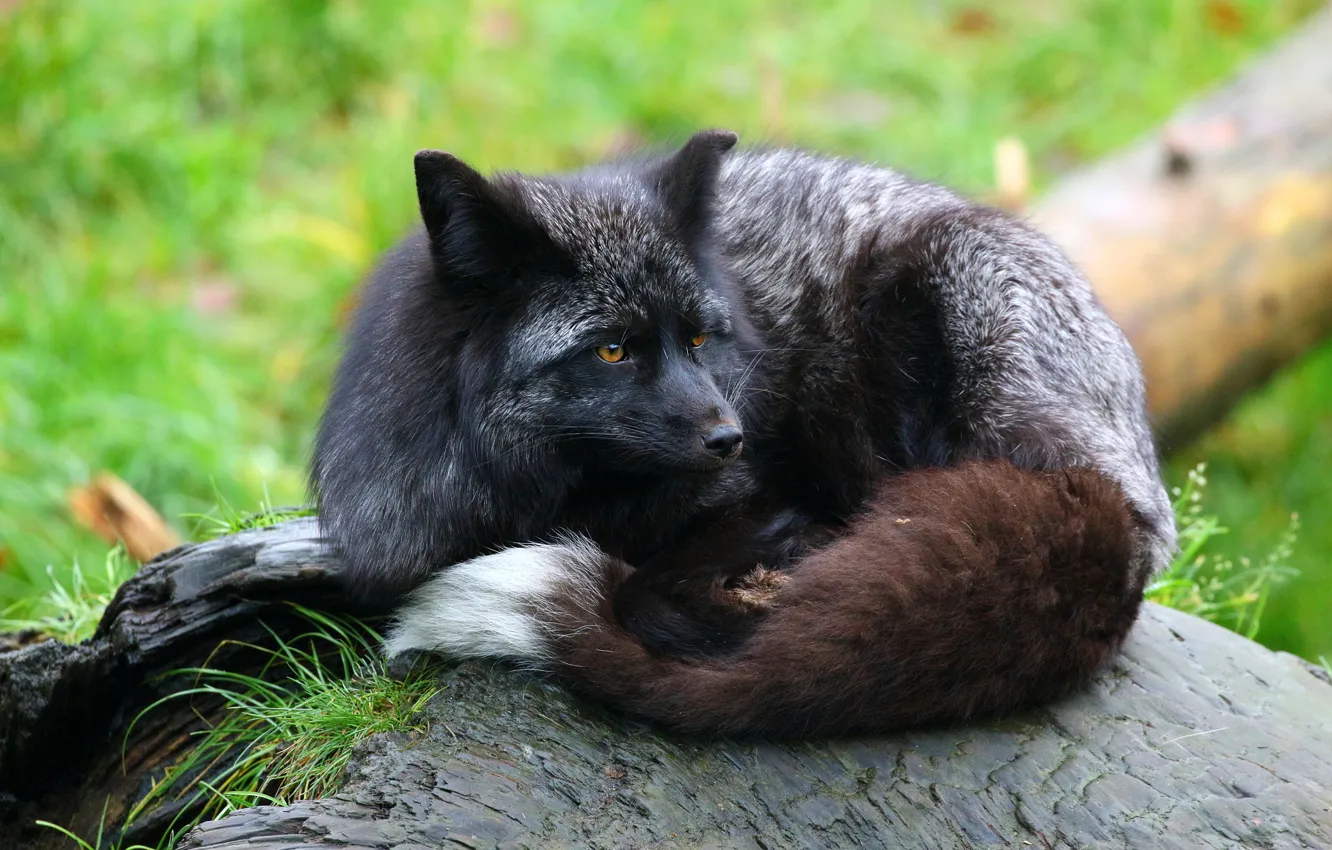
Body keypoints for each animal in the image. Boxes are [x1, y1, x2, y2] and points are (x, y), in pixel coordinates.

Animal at [310, 130, 1176, 736]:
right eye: (612, 349)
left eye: (699, 338)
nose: (732, 437)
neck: (546, 500)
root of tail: (1129, 495)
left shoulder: (758, 497)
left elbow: (645, 592)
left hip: (940, 309)